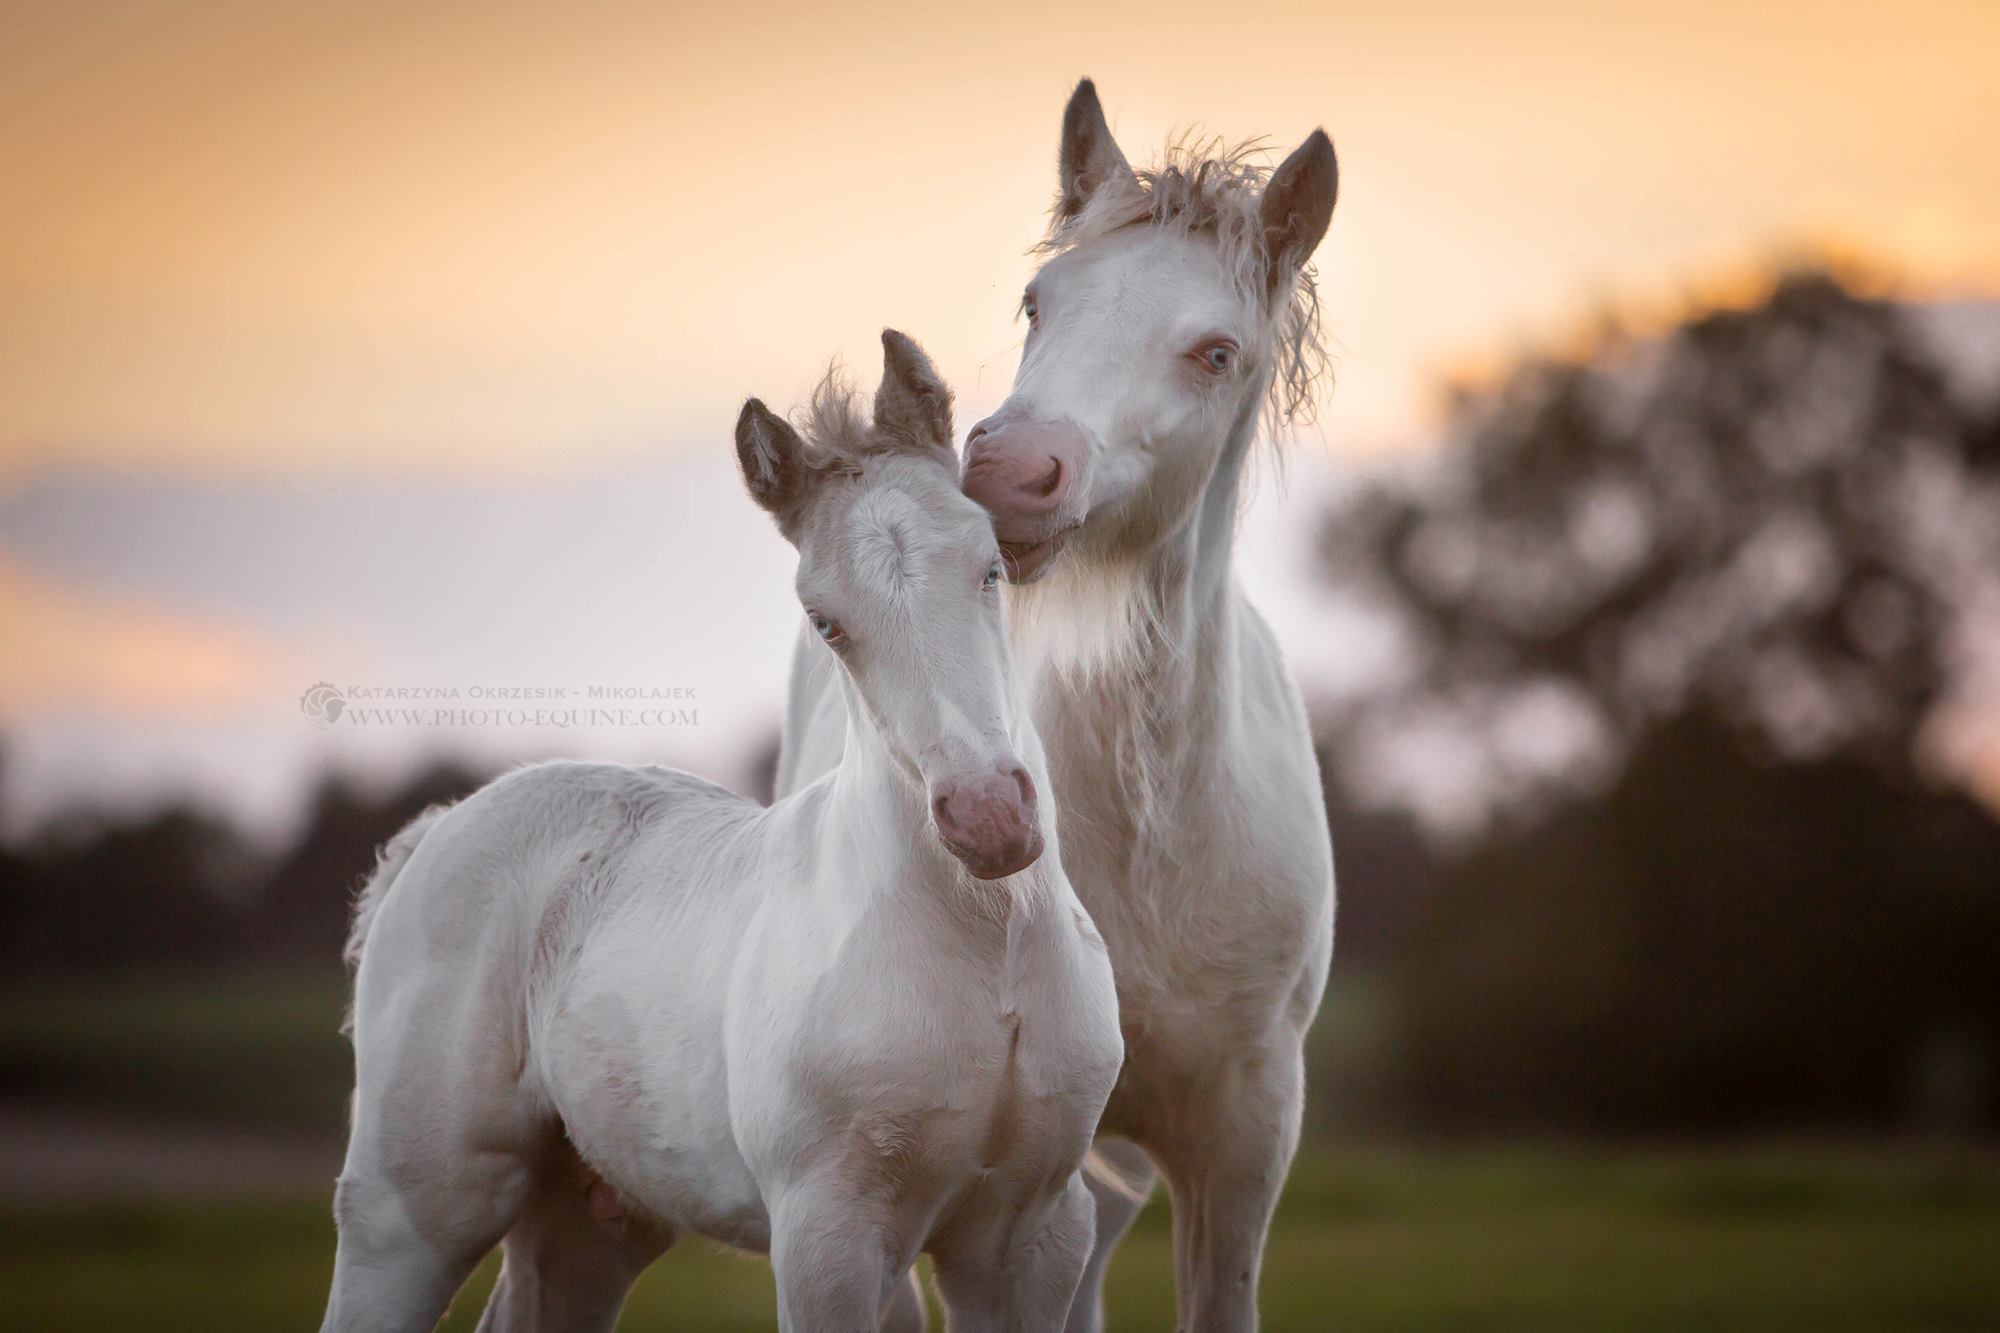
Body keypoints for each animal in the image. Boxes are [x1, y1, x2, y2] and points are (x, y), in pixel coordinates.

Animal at [320, 330, 1120, 1328]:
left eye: (990, 568)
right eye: (827, 622)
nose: (988, 818)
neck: (988, 945)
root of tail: (434, 835)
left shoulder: (1034, 1237)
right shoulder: (828, 1238)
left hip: (589, 1220)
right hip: (411, 1211)